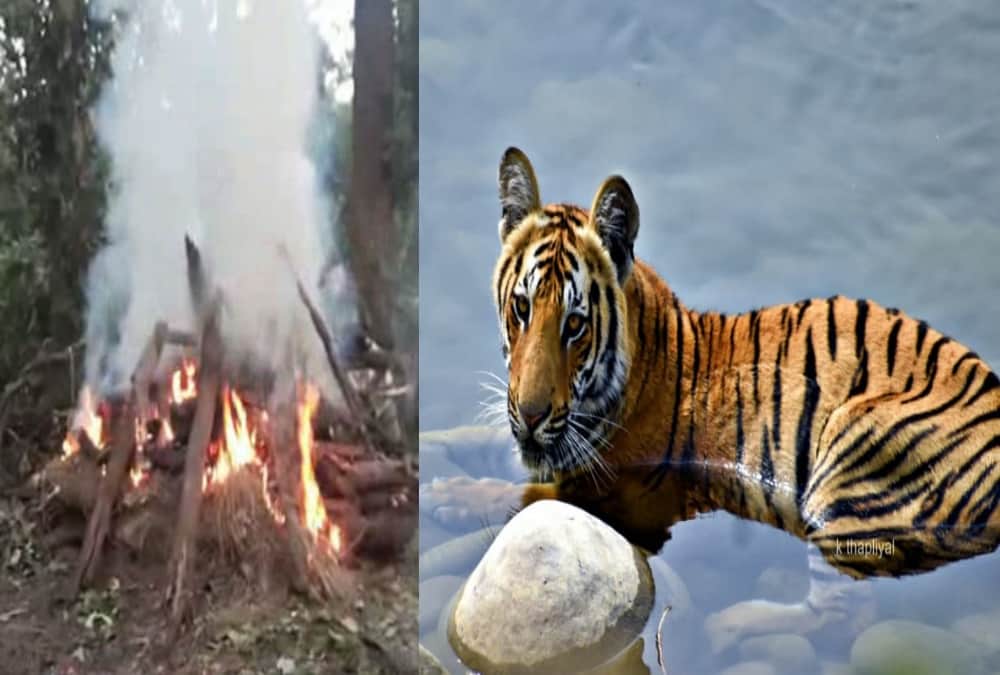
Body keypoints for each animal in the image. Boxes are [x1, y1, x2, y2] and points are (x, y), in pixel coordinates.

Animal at [424, 146, 1000, 650]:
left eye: (575, 325)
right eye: (521, 308)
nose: (530, 413)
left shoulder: (618, 487)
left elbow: (527, 498)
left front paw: (450, 494)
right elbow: (487, 443)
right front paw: (434, 444)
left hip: (853, 453)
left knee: (842, 612)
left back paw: (734, 621)